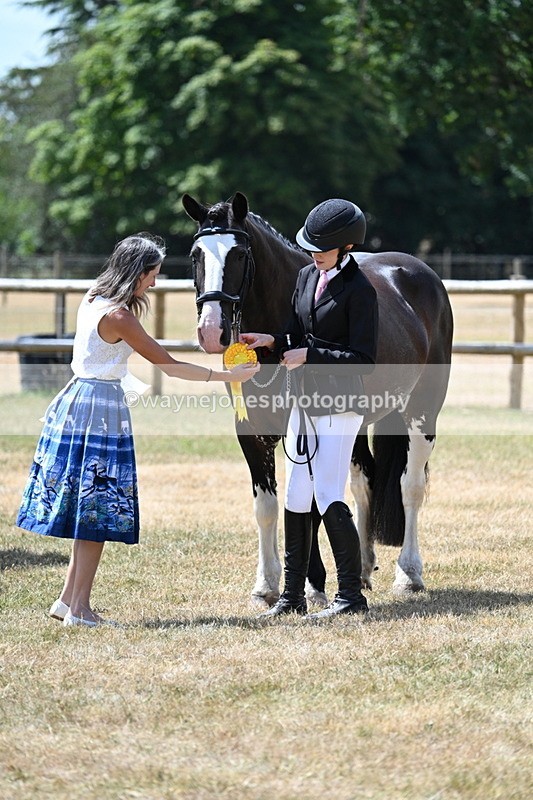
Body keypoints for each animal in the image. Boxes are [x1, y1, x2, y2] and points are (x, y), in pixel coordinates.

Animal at [182, 191, 454, 606]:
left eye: (240, 255)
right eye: (195, 254)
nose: (212, 331)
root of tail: (418, 272)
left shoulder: (303, 432)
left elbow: (308, 506)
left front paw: (313, 586)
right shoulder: (251, 431)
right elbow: (268, 507)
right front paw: (266, 586)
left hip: (422, 412)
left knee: (411, 486)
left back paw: (409, 574)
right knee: (363, 479)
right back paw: (362, 568)